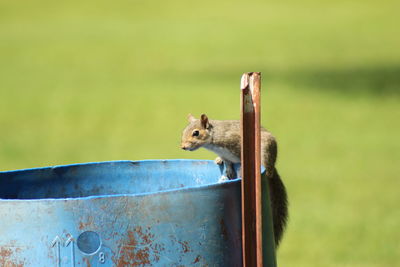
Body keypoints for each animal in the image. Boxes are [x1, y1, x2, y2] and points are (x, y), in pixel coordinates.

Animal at [180, 114, 288, 248]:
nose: (183, 147)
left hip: (266, 149)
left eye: (196, 133)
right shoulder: (225, 155)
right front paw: (229, 170)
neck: (213, 139)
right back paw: (218, 160)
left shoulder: (237, 142)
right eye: (183, 131)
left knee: (268, 168)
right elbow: (227, 162)